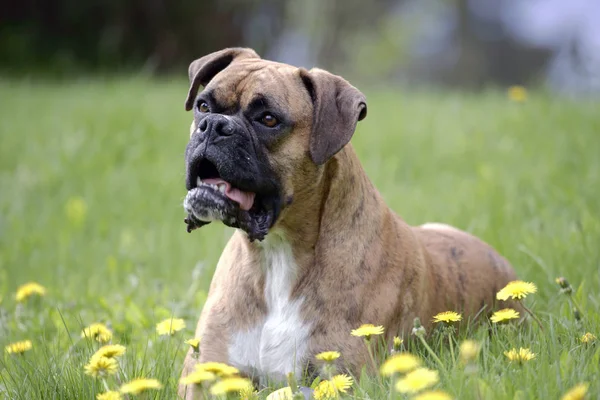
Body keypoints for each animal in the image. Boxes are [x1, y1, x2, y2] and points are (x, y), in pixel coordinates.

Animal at [177, 47, 516, 396]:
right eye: (203, 106)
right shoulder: (202, 374)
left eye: (268, 119)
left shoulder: (347, 380)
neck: (277, 253)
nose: (214, 125)